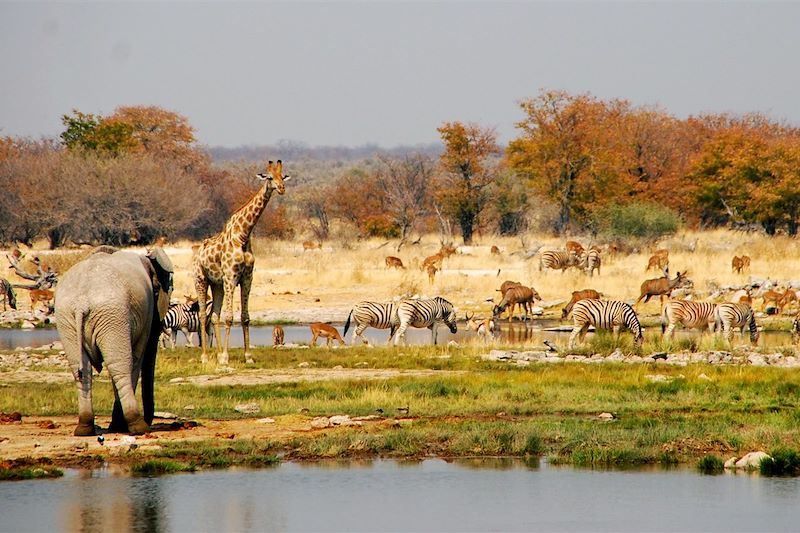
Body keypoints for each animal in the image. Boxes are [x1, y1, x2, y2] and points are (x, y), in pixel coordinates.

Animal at [55, 247, 173, 434]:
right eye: (157, 291)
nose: (150, 421)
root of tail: (82, 302)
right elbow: (136, 358)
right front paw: (120, 426)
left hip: (67, 318)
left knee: (81, 369)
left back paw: (84, 429)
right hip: (111, 313)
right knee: (121, 365)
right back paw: (137, 426)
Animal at [194, 160, 290, 364]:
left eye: (283, 176)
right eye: (270, 177)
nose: (282, 188)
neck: (243, 235)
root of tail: (198, 252)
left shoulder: (247, 278)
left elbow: (245, 317)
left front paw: (247, 356)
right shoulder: (231, 277)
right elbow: (230, 317)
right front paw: (225, 357)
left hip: (217, 284)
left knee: (214, 315)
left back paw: (217, 353)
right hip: (201, 280)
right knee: (202, 314)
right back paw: (205, 356)